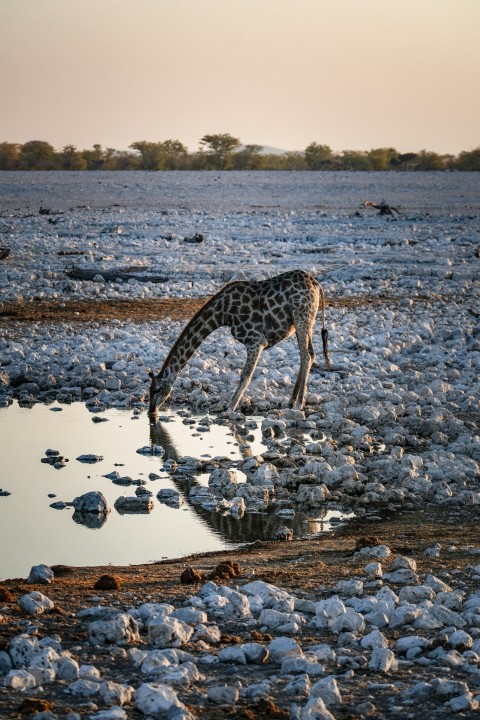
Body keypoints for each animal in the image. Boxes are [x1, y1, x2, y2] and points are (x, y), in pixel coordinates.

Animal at [148, 268, 332, 416]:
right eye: (149, 390)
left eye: (157, 389)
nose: (151, 411)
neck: (221, 314)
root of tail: (316, 284)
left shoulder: (256, 340)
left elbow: (245, 375)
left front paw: (230, 408)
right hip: (306, 320)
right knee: (309, 355)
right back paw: (291, 401)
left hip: (301, 316)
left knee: (307, 356)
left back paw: (299, 405)